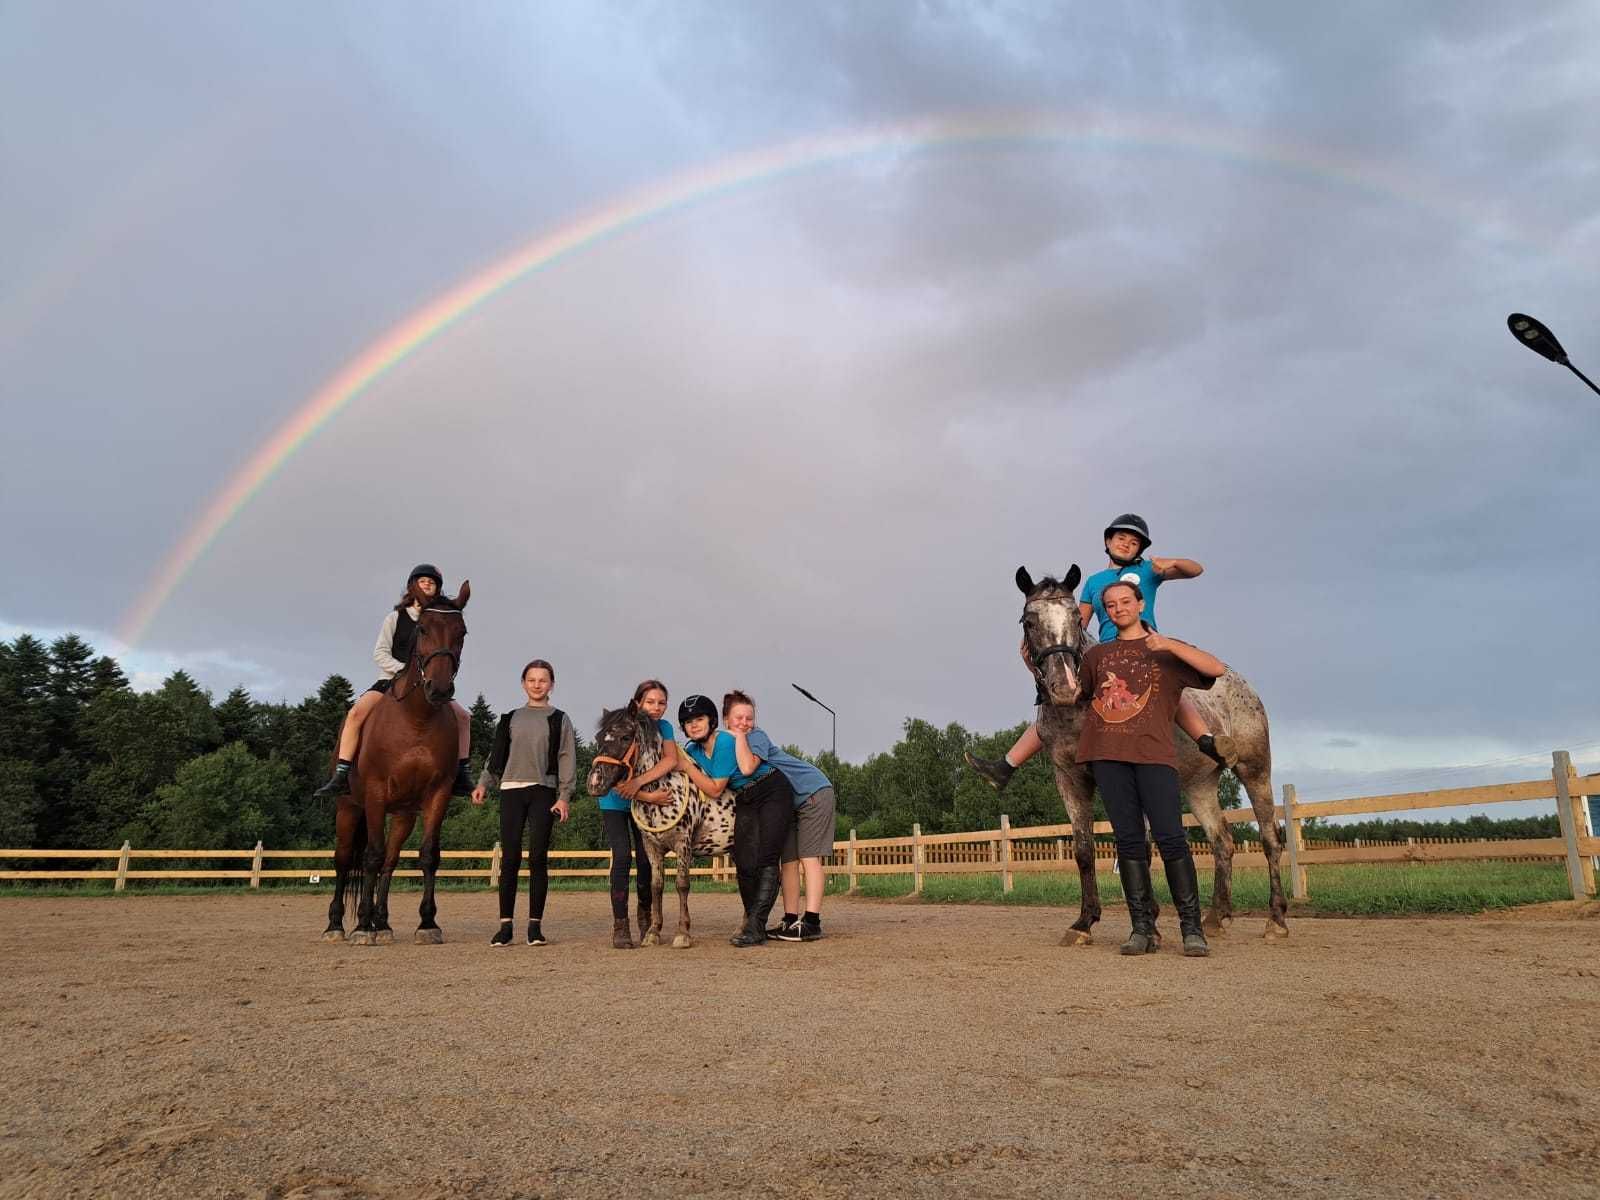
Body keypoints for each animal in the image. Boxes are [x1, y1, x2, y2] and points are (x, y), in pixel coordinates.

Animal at [323, 582, 467, 947]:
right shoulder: (375, 792)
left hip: (403, 814)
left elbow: (428, 855)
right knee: (345, 860)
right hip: (349, 807)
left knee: (390, 860)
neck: (417, 718)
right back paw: (336, 925)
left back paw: (383, 922)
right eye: (423, 629)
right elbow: (370, 856)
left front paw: (427, 923)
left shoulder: (437, 794)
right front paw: (361, 926)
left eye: (462, 632)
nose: (439, 689)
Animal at [588, 710, 736, 953]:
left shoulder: (682, 845)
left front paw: (683, 934)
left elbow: (682, 885)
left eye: (625, 737)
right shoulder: (652, 847)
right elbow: (655, 885)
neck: (664, 791)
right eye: (599, 738)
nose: (595, 782)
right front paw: (652, 933)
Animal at [1017, 566, 1292, 947]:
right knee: (1222, 841)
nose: (1065, 687)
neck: (1078, 712)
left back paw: (1276, 919)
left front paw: (1151, 925)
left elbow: (1141, 848)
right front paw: (1084, 922)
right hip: (1199, 785)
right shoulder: (1069, 779)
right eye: (1029, 621)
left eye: (1075, 617)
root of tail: (1240, 683)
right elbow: (1084, 851)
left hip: (1255, 770)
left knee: (1270, 840)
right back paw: (1215, 917)